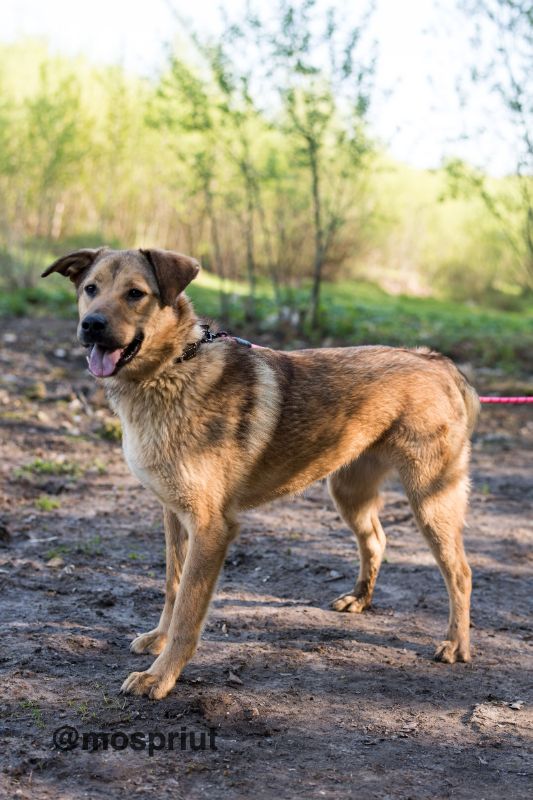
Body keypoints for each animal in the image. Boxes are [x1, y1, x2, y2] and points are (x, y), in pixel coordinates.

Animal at [41, 247, 478, 696]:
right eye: (90, 289)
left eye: (135, 293)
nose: (91, 325)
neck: (171, 369)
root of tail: (435, 360)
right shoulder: (174, 516)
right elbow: (172, 587)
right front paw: (159, 640)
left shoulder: (211, 528)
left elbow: (188, 611)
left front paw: (161, 676)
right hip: (347, 491)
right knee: (375, 540)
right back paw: (360, 599)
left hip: (431, 501)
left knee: (461, 572)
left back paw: (456, 644)